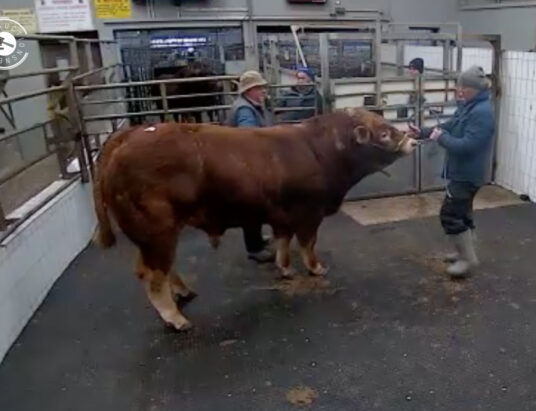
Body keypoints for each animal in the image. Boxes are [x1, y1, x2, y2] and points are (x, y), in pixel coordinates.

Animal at [93, 108, 418, 332]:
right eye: (384, 133)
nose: (412, 141)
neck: (321, 151)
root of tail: (130, 135)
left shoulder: (282, 216)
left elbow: (284, 241)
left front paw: (285, 269)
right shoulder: (309, 213)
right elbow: (308, 243)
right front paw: (316, 268)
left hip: (159, 235)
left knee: (160, 268)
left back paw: (183, 291)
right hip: (156, 232)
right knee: (153, 276)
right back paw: (176, 318)